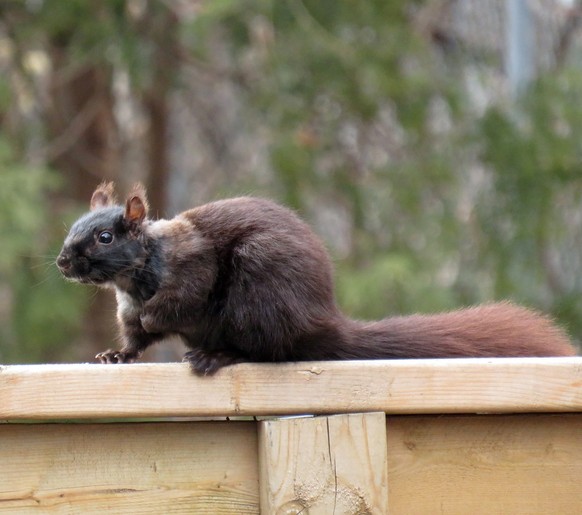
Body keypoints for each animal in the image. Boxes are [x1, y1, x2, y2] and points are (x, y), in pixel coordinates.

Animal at [57, 182, 576, 374]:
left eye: (104, 237)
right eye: (72, 228)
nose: (63, 262)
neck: (136, 276)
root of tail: (321, 323)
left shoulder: (193, 265)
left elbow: (181, 300)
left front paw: (157, 316)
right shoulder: (125, 308)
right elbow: (134, 338)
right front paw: (116, 355)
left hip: (259, 292)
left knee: (265, 351)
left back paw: (217, 354)